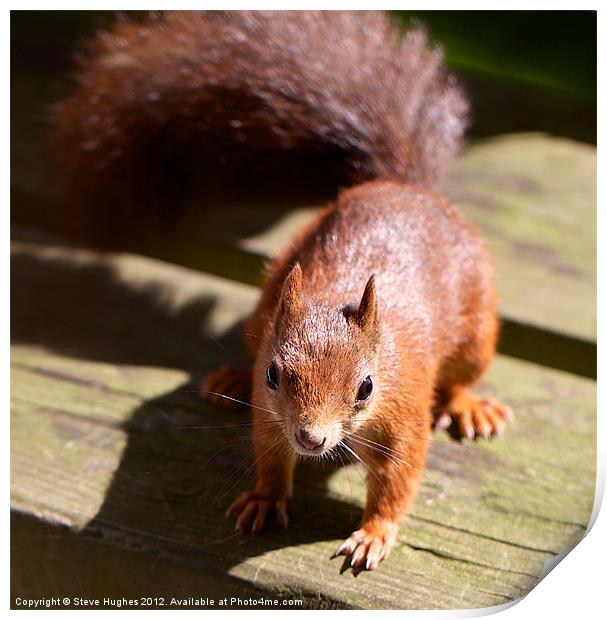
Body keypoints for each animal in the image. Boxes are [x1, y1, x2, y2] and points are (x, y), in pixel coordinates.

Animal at [52, 10, 510, 572]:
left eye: (367, 387)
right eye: (274, 375)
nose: (311, 438)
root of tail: (406, 188)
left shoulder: (403, 412)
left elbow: (397, 481)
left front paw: (374, 533)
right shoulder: (272, 414)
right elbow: (270, 456)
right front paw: (265, 498)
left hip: (475, 329)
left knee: (465, 374)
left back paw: (471, 406)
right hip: (265, 304)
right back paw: (229, 377)